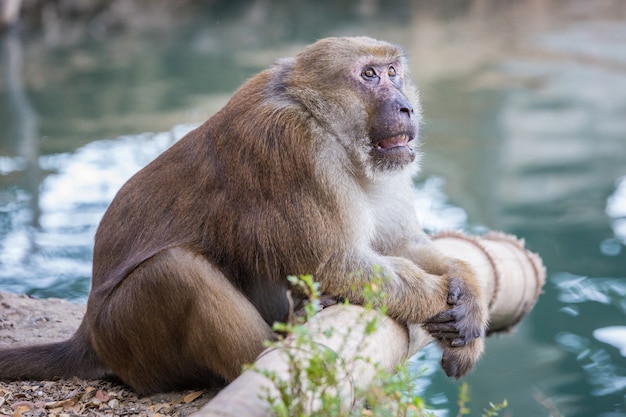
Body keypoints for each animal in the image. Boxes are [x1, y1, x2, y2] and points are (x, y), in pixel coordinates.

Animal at [0, 35, 488, 394]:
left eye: (393, 73)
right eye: (368, 75)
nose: (405, 106)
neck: (323, 123)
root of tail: (88, 335)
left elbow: (403, 245)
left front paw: (468, 296)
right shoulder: (292, 148)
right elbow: (335, 263)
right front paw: (436, 296)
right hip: (127, 336)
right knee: (174, 272)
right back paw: (275, 348)